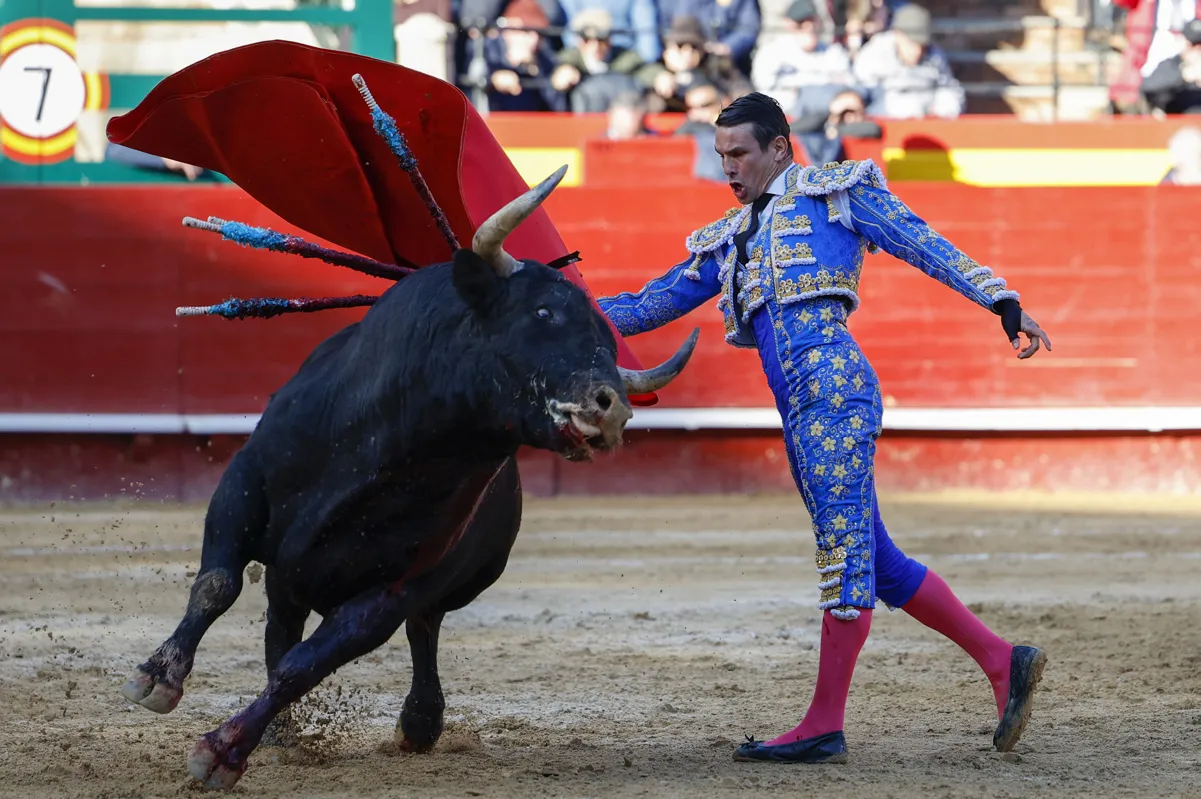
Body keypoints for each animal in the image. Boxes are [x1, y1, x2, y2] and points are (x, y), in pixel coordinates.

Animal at [117, 167, 701, 783]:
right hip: (288, 568)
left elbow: (307, 665)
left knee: (421, 628)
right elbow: (217, 585)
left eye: (610, 343)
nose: (612, 408)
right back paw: (284, 731)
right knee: (281, 620)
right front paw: (156, 678)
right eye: (543, 312)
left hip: (453, 581)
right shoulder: (241, 488)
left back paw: (416, 722)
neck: (395, 445)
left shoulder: (393, 590)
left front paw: (223, 749)